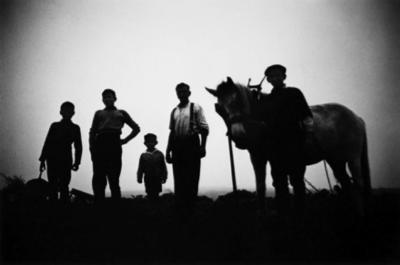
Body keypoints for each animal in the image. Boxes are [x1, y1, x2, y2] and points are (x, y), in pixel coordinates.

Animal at [206, 77, 372, 212]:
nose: (238, 135)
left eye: (238, 101)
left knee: (358, 186)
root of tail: (356, 117)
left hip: (352, 158)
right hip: (335, 160)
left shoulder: (277, 159)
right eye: (219, 108)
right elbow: (261, 188)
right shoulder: (257, 158)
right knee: (347, 185)